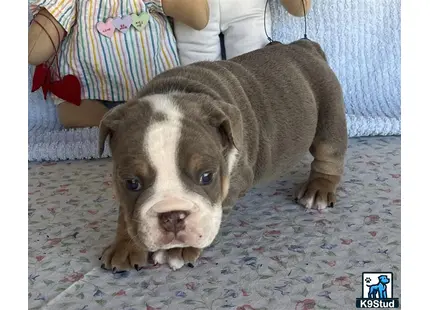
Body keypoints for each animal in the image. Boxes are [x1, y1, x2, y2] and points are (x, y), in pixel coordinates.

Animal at [97, 38, 346, 272]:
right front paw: (125, 246)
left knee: (328, 159)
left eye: (206, 177)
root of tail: (303, 45)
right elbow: (126, 215)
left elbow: (209, 216)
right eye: (132, 183)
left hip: (329, 118)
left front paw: (178, 250)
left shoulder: (233, 184)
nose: (173, 216)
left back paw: (318, 190)